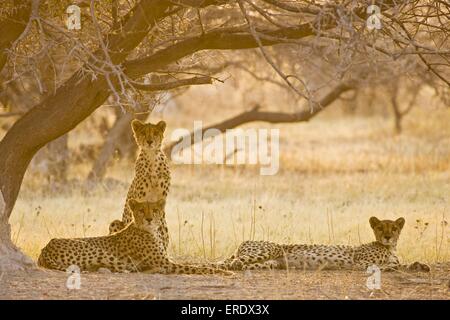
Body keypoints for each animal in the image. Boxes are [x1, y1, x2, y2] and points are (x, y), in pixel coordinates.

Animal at [37, 198, 230, 276]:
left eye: (154, 210)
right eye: (141, 210)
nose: (149, 218)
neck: (149, 230)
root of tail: (46, 247)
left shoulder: (167, 260)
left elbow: (203, 264)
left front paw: (225, 266)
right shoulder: (166, 262)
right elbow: (197, 268)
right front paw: (225, 272)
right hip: (103, 253)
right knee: (124, 268)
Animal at [109, 120, 171, 252]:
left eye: (155, 133)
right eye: (143, 133)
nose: (149, 141)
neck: (152, 157)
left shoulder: (162, 199)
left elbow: (160, 226)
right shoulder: (140, 200)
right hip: (115, 223)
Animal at [216, 216, 430, 272]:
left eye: (393, 228)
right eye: (380, 228)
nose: (387, 237)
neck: (390, 248)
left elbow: (402, 265)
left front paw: (420, 265)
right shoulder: (359, 263)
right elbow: (385, 266)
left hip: (269, 263)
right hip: (269, 250)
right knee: (232, 262)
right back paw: (233, 264)